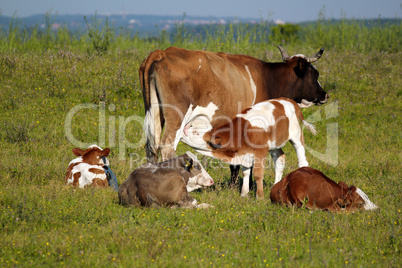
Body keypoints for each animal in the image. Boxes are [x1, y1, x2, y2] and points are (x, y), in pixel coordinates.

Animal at [139, 46, 326, 166]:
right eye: (314, 73)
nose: (325, 95)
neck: (267, 78)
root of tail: (162, 52)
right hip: (176, 117)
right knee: (167, 146)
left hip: (155, 114)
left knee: (151, 146)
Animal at [177, 97, 316, 198]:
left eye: (196, 132)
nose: (182, 132)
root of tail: (288, 100)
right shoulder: (245, 155)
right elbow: (245, 172)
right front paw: (244, 194)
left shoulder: (260, 152)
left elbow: (258, 174)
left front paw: (259, 197)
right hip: (274, 145)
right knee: (280, 159)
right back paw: (276, 186)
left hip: (296, 136)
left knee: (302, 159)